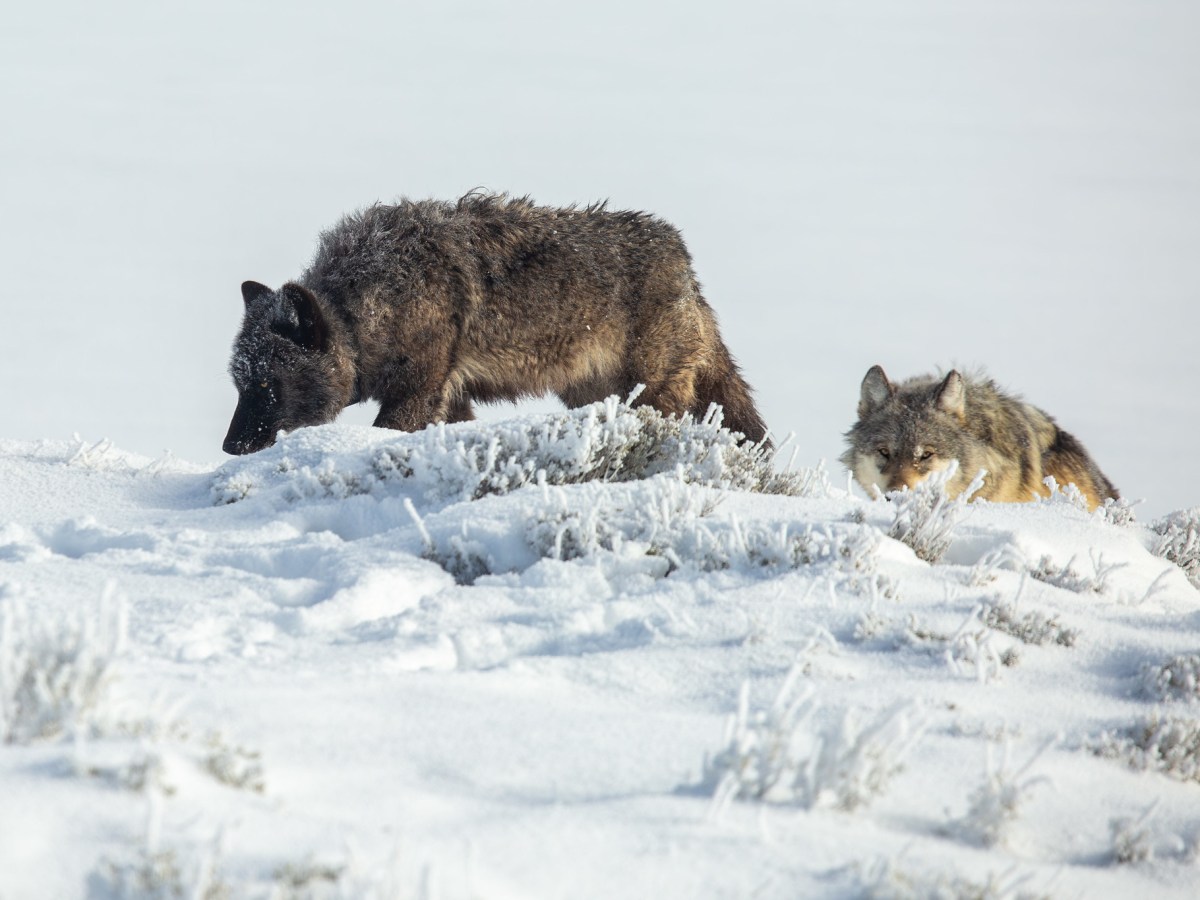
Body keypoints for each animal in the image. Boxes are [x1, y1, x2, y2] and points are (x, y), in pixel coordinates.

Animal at [224, 192, 768, 455]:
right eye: (241, 385)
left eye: (269, 384)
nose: (230, 447)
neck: (365, 309)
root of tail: (685, 264)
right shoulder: (449, 398)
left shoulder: (416, 393)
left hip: (648, 395)